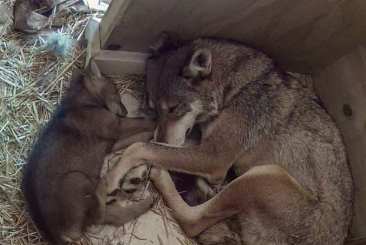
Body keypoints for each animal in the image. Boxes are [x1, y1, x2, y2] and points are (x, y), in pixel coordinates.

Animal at [21, 59, 156, 245]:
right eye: (116, 90)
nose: (126, 111)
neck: (83, 100)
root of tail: (58, 235)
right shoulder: (116, 126)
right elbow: (141, 121)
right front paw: (156, 122)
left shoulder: (112, 141)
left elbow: (136, 136)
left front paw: (149, 137)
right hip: (77, 179)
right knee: (101, 215)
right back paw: (104, 186)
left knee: (116, 215)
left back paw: (141, 198)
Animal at [107, 34, 354, 245]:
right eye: (153, 109)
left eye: (175, 109)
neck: (234, 89)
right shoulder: (206, 146)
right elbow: (154, 145)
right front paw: (136, 172)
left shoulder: (214, 157)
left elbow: (141, 147)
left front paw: (114, 176)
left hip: (265, 174)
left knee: (193, 221)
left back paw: (162, 176)